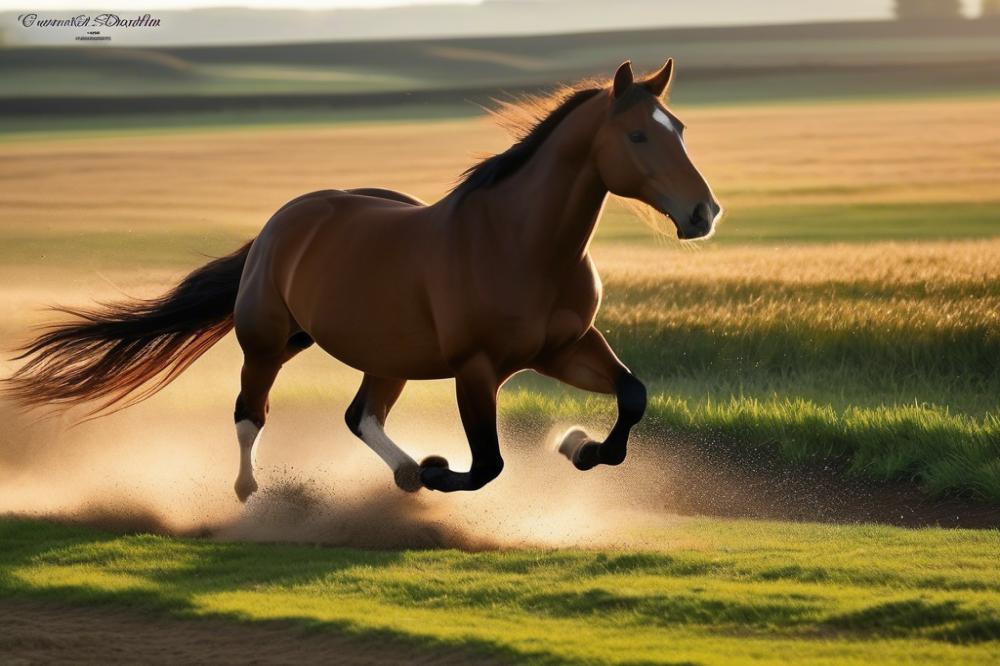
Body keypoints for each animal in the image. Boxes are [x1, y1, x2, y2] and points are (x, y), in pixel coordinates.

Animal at [1, 61, 720, 498]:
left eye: (681, 129)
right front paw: (436, 470)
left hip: (386, 357)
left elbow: (633, 396)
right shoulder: (477, 368)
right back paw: (253, 492)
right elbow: (485, 466)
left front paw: (577, 447)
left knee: (359, 415)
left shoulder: (565, 348)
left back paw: (400, 472)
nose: (703, 213)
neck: (522, 246)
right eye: (638, 136)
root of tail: (282, 221)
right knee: (250, 414)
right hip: (267, 343)